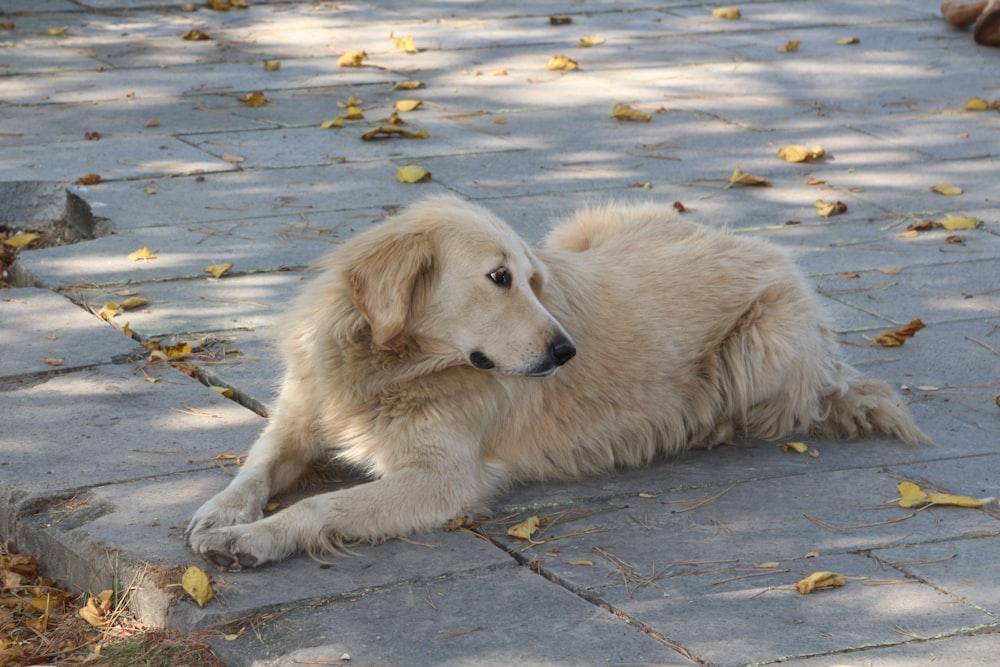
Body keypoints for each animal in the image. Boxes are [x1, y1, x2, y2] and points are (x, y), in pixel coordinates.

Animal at [188, 196, 928, 572]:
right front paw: (223, 514)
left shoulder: (442, 480)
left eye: (531, 280)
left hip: (762, 344)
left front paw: (255, 538)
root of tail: (771, 248)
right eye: (498, 278)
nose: (567, 350)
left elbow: (319, 508)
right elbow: (253, 470)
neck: (388, 366)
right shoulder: (298, 417)